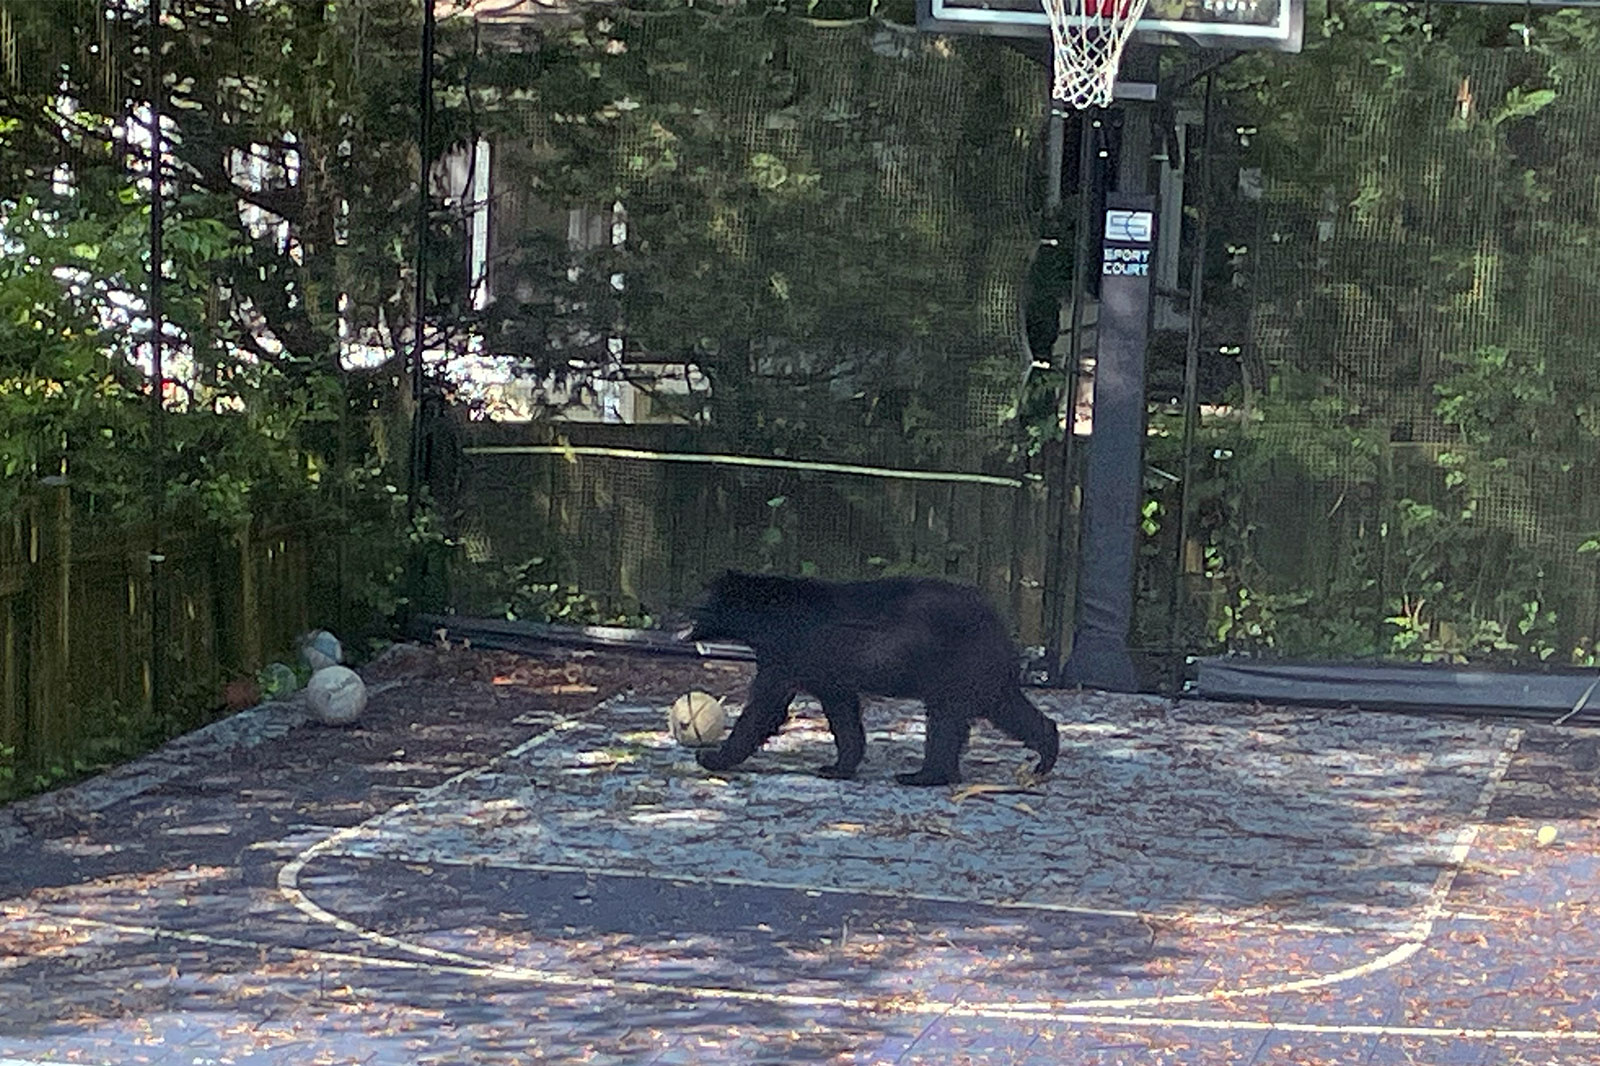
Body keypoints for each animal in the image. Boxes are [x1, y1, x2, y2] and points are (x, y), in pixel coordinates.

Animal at [683, 571, 1059, 786]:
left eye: (706, 598)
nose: (686, 610)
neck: (766, 617)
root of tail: (998, 621)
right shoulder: (828, 675)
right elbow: (843, 715)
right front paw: (838, 766)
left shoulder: (786, 655)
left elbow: (764, 707)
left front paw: (712, 756)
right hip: (982, 674)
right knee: (1008, 708)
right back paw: (1045, 758)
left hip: (956, 666)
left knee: (946, 720)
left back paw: (922, 776)